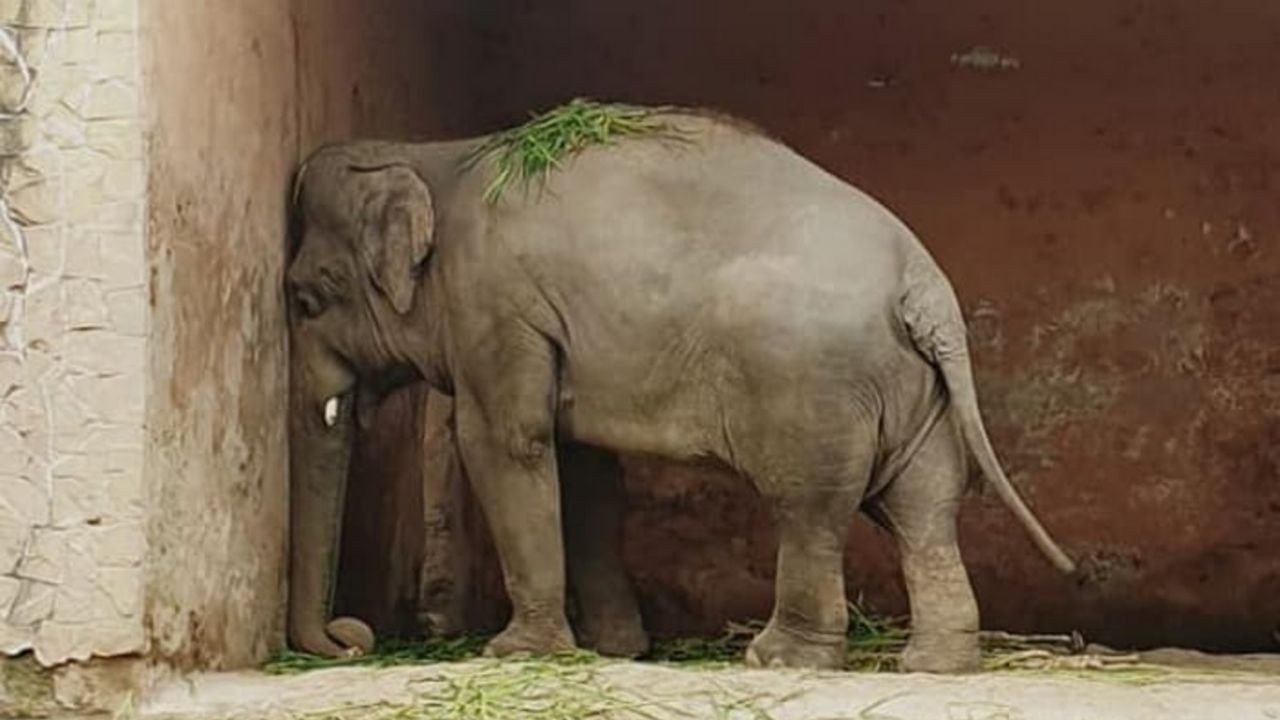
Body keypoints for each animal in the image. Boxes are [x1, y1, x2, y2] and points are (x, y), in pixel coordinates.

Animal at [285, 106, 1076, 673]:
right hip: (913, 388)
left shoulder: (494, 303)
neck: (429, 155)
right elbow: (583, 470)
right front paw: (614, 650)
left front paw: (515, 653)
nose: (350, 635)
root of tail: (922, 279)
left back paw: (779, 659)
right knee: (925, 506)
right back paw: (933, 664)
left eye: (305, 297)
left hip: (814, 383)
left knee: (811, 508)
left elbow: (506, 443)